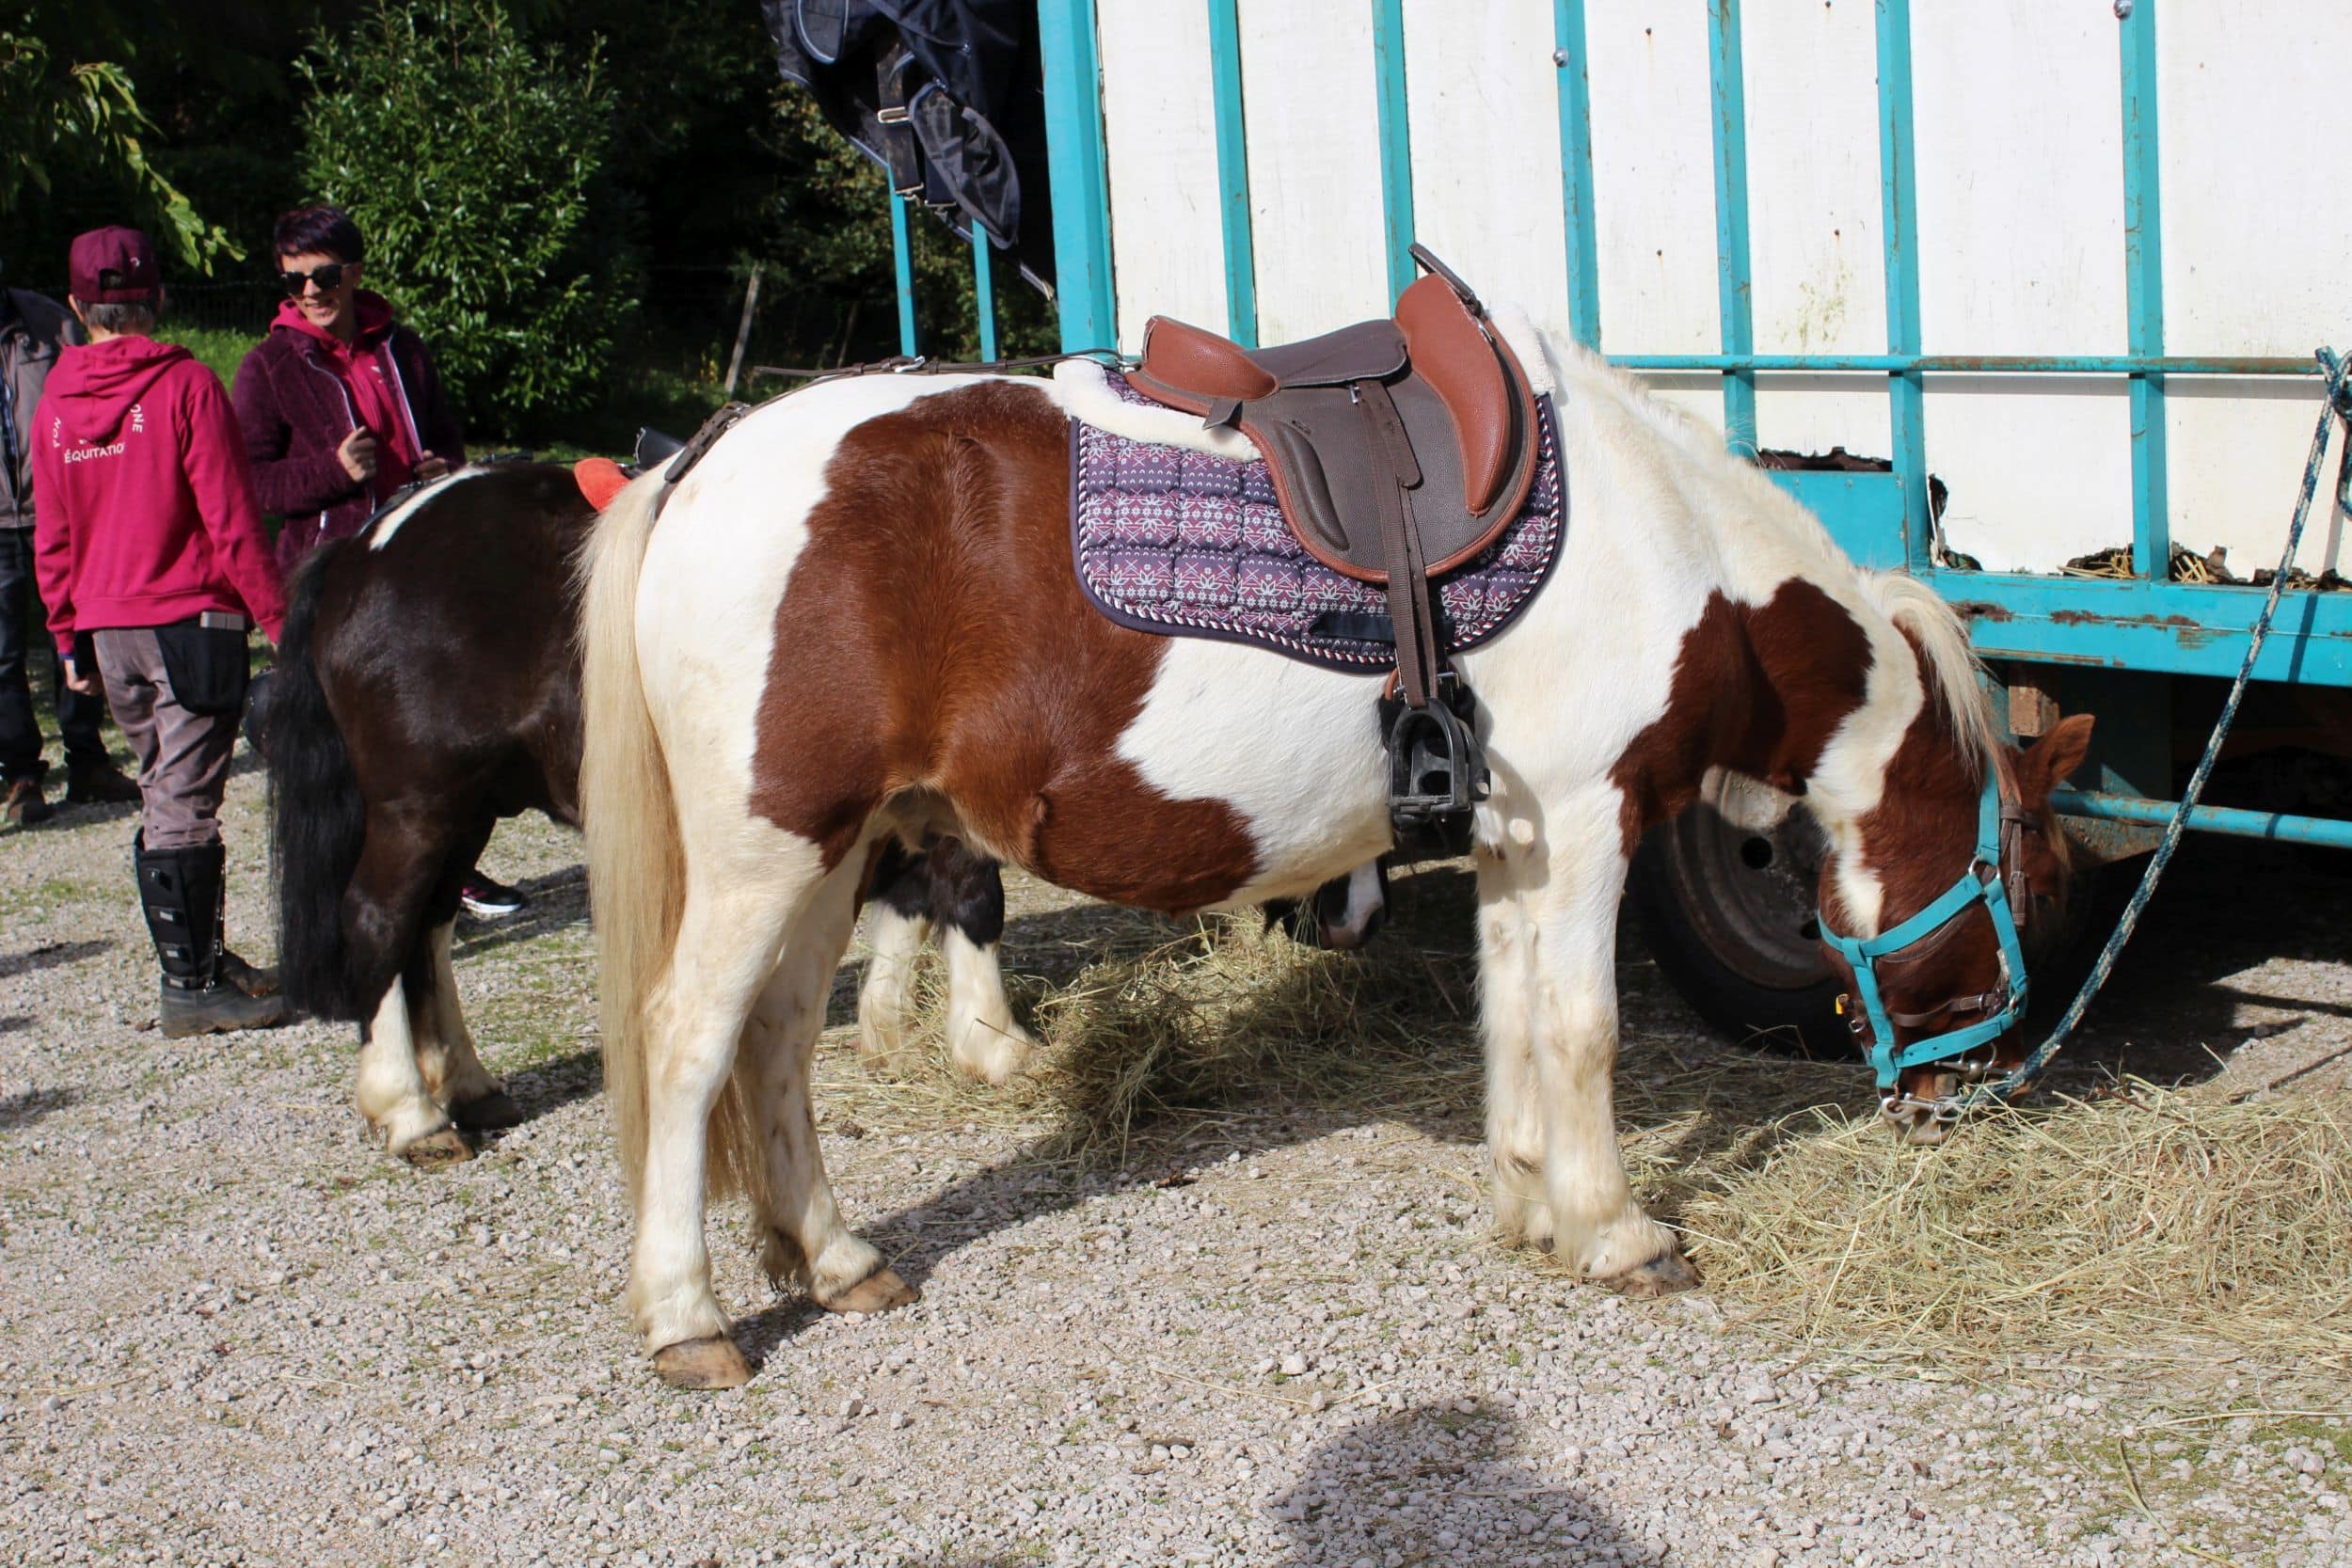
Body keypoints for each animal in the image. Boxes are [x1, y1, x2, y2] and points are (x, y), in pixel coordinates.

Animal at [259, 463, 1040, 1170]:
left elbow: (913, 900)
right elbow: (973, 894)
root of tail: (369, 542)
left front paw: (894, 1028)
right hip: (417, 805)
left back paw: (468, 1086)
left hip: (466, 811)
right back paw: (410, 1111)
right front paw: (995, 1040)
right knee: (380, 919)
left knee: (428, 928)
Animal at [573, 320, 2093, 1389]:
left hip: (831, 854)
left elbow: (1514, 1016)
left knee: (776, 1042)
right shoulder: (1590, 823)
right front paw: (1614, 1230)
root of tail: (704, 455)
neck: (1669, 552)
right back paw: (688, 1315)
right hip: (768, 851)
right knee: (690, 1040)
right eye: (2035, 883)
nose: (1969, 1087)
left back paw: (836, 1257)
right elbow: (1585, 1027)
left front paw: (1528, 1200)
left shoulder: (1518, 843)